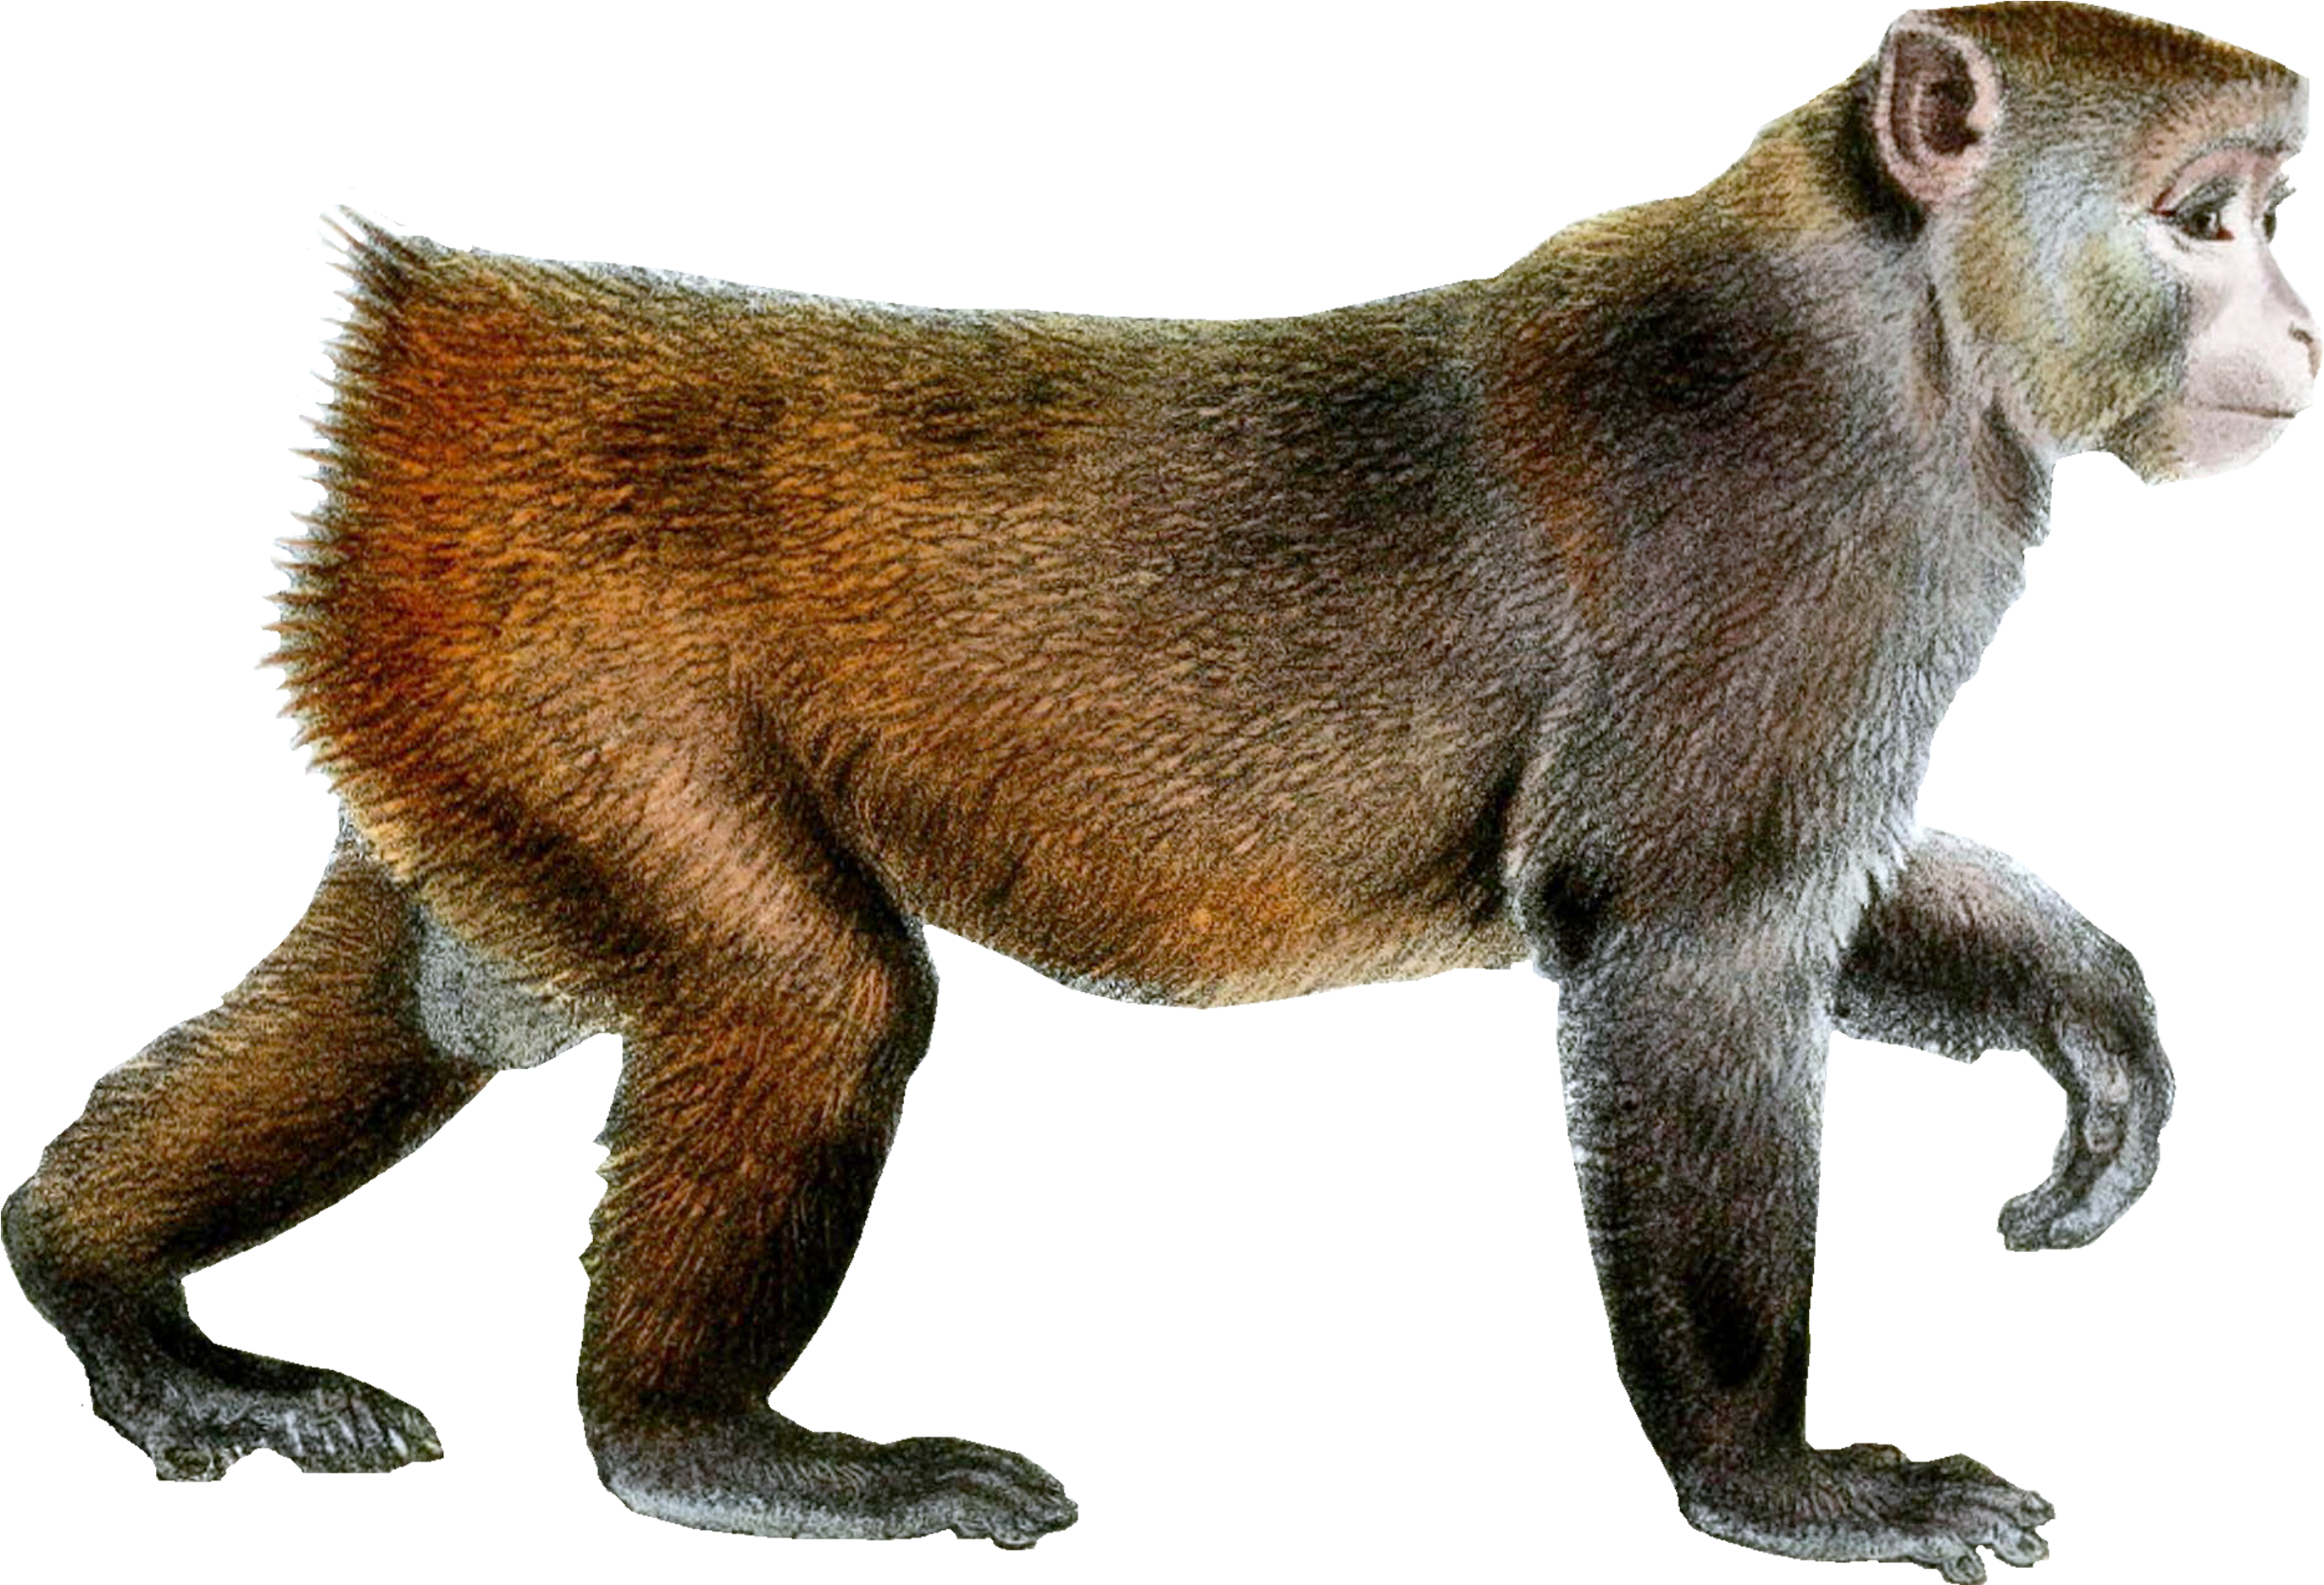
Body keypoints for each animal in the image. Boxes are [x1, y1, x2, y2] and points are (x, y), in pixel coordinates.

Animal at [3, 5, 2310, 1578]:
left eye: (2262, 214)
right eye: (2203, 218)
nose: (2295, 324)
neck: (1899, 311)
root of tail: (446, 334)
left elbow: (1803, 894)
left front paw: (2093, 1028)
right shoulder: (1811, 517)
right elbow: (1683, 938)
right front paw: (1778, 1480)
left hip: (444, 686)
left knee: (425, 1001)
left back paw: (108, 1294)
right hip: (552, 656)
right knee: (805, 992)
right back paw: (708, 1442)